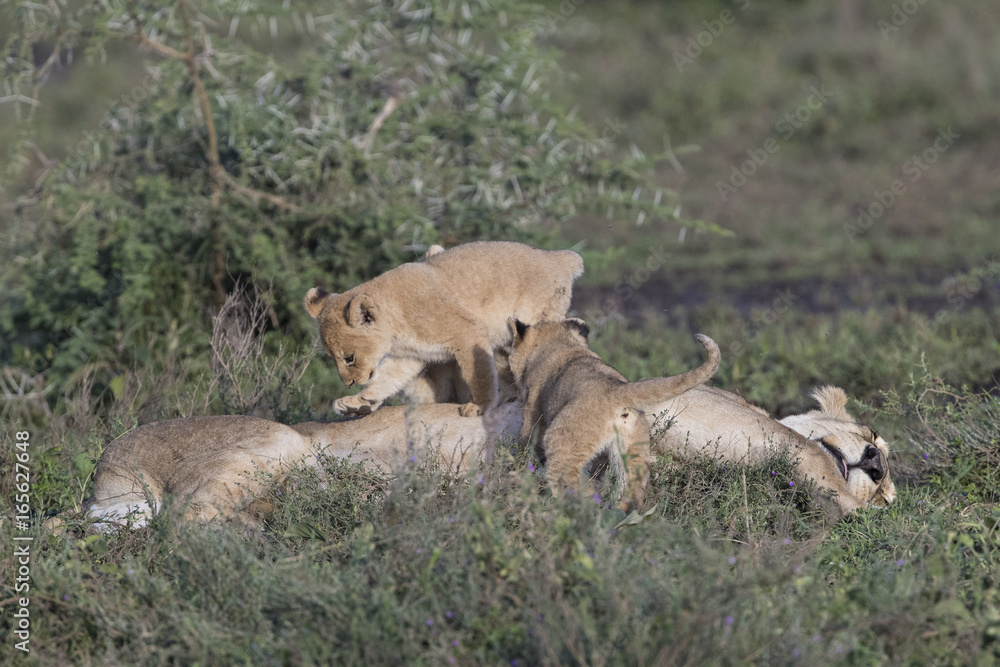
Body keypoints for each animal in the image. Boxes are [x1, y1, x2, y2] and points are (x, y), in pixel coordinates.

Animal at [305, 241, 583, 418]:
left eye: (349, 358)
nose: (349, 384)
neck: (396, 328)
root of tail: (557, 256)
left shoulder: (468, 332)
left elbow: (479, 373)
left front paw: (480, 406)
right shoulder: (408, 356)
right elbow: (386, 379)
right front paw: (358, 403)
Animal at [507, 318, 721, 511]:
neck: (562, 344)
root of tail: (616, 389)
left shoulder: (532, 409)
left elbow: (525, 443)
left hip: (560, 444)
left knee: (579, 490)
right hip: (632, 452)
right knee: (631, 492)